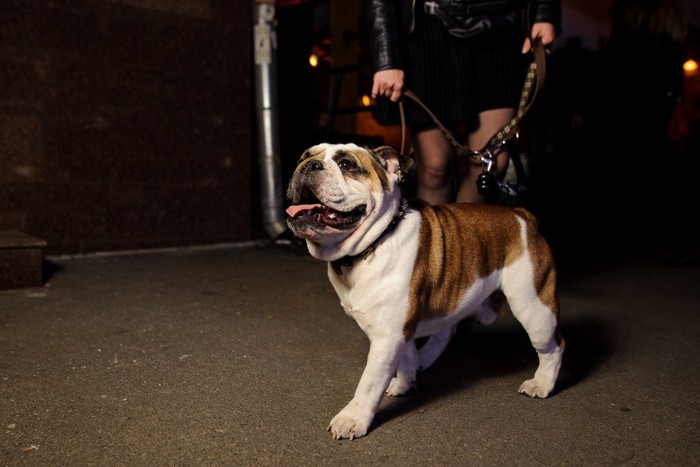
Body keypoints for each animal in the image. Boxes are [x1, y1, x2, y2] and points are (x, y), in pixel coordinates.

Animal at [284, 144, 564, 440]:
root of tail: (522, 215)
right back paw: (425, 358)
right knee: (448, 328)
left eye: (347, 164)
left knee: (554, 347)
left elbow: (369, 382)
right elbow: (405, 357)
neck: (373, 243)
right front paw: (405, 382)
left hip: (533, 306)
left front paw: (353, 418)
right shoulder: (400, 330)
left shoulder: (387, 336)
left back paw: (542, 384)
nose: (309, 166)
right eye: (304, 157)